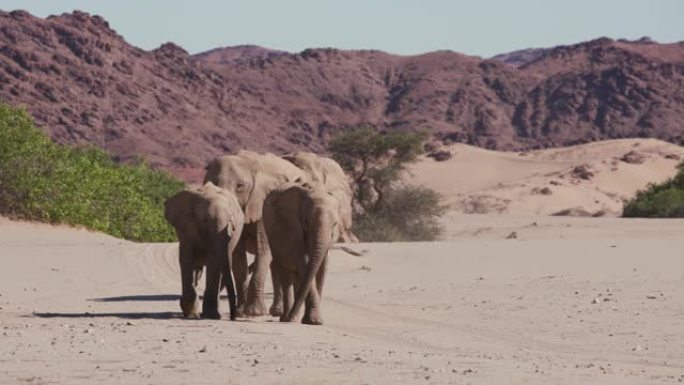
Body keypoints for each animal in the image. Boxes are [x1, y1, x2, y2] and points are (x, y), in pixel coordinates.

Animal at [163, 182, 243, 320]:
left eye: (231, 223)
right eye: (205, 220)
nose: (233, 317)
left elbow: (214, 261)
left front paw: (210, 315)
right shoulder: (186, 225)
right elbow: (186, 258)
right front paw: (191, 313)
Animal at [202, 149, 306, 316]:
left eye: (240, 186)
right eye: (213, 185)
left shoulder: (262, 201)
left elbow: (263, 250)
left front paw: (253, 312)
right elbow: (238, 257)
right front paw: (240, 311)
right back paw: (277, 311)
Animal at [260, 183, 340, 324]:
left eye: (335, 224)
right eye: (306, 221)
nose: (291, 316)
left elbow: (322, 267)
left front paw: (314, 320)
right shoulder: (293, 228)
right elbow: (305, 263)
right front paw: (314, 321)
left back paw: (293, 318)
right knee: (286, 273)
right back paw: (287, 318)